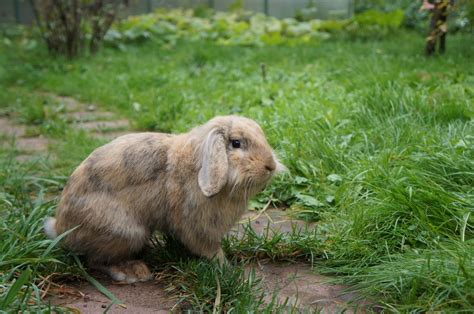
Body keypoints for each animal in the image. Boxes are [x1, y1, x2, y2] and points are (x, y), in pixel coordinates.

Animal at [43, 115, 286, 282]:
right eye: (236, 143)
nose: (270, 166)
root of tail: (61, 229)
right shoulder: (198, 228)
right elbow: (209, 249)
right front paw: (227, 268)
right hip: (126, 231)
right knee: (96, 260)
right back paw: (133, 272)